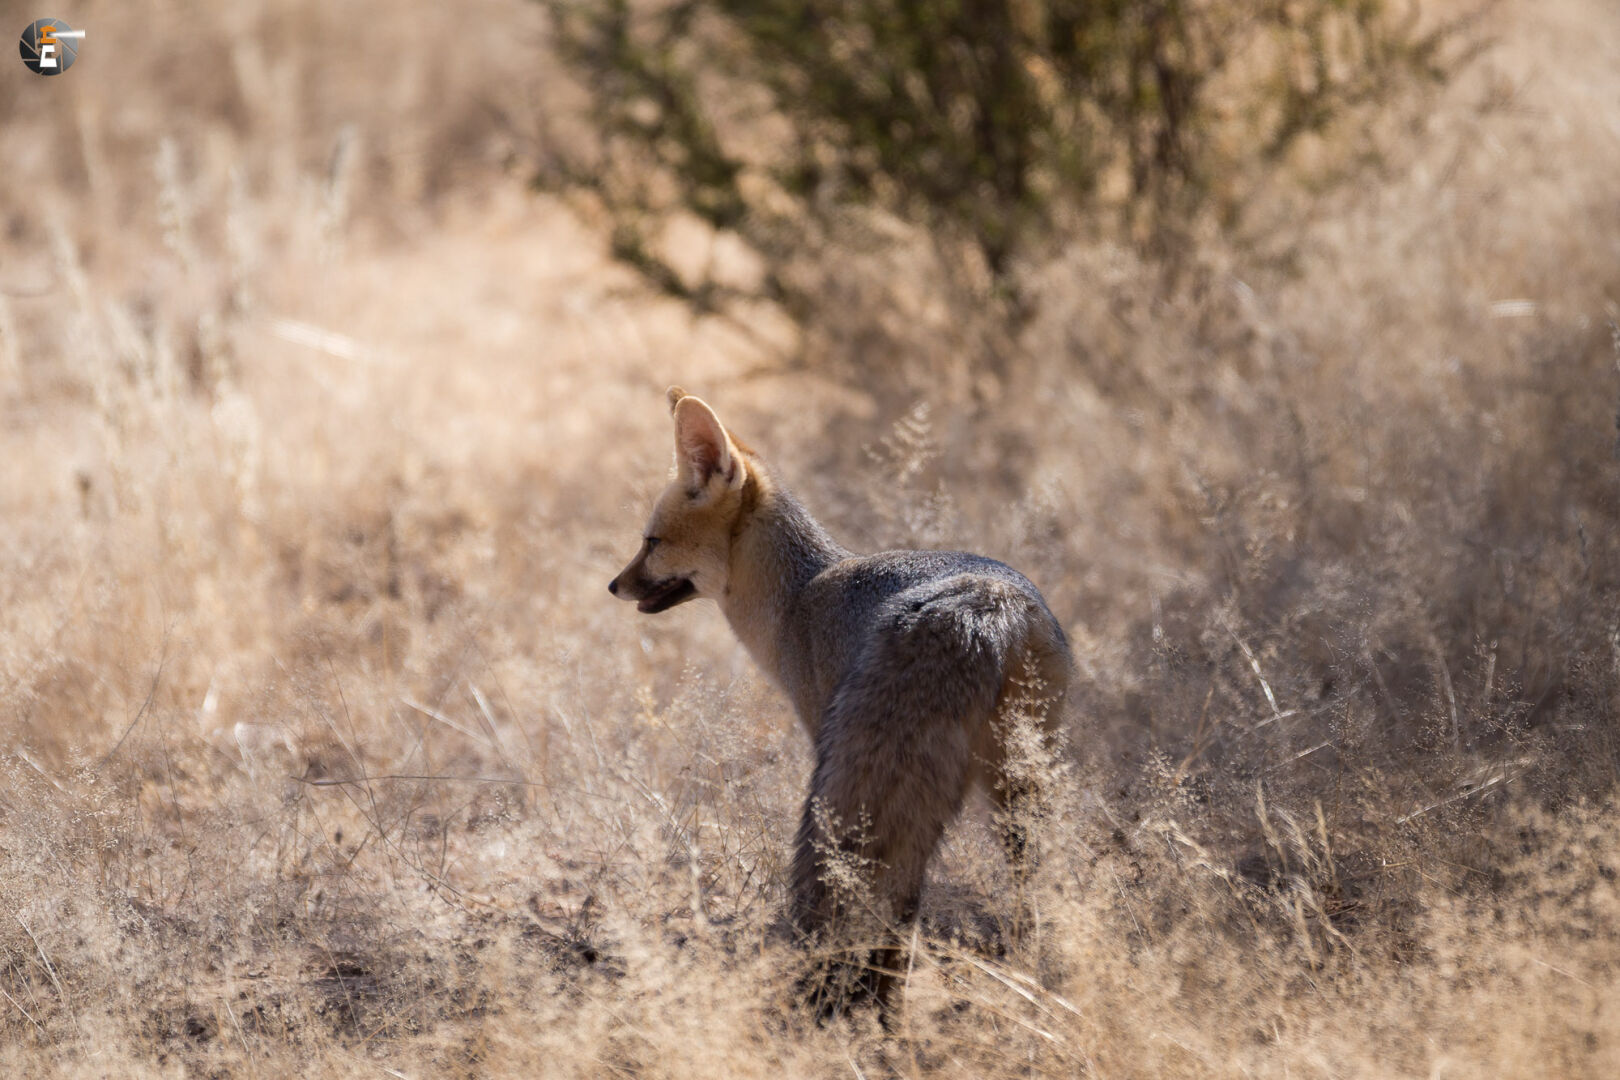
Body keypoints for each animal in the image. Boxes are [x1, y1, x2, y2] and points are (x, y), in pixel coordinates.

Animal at [609, 387, 1074, 1020]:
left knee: (892, 893)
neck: (799, 596)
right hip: (1018, 788)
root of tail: (988, 600)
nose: (613, 585)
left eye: (650, 542)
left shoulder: (819, 729)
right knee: (1026, 882)